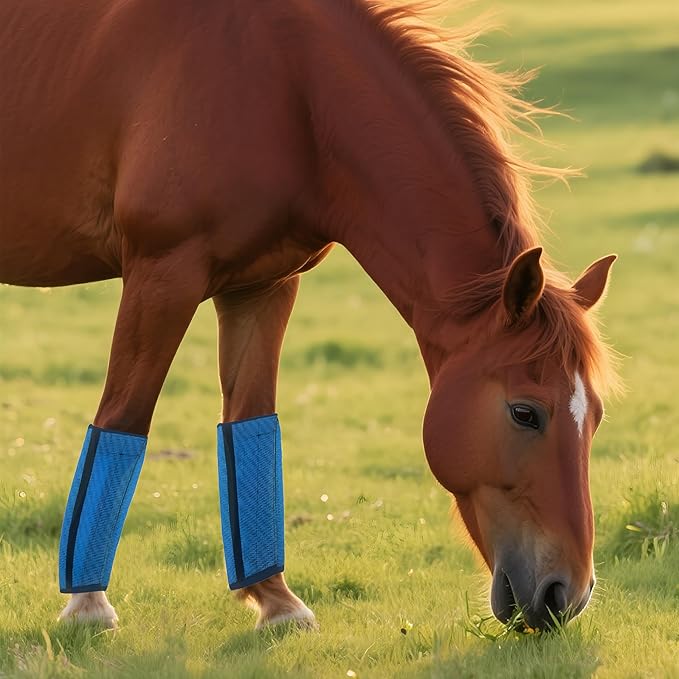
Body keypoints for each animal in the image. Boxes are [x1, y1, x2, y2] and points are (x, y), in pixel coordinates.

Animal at [0, 0, 617, 631]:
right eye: (524, 413)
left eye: (594, 416)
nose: (566, 594)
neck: (289, 85)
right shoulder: (162, 273)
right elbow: (124, 416)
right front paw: (88, 604)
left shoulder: (263, 285)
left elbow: (250, 421)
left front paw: (275, 600)